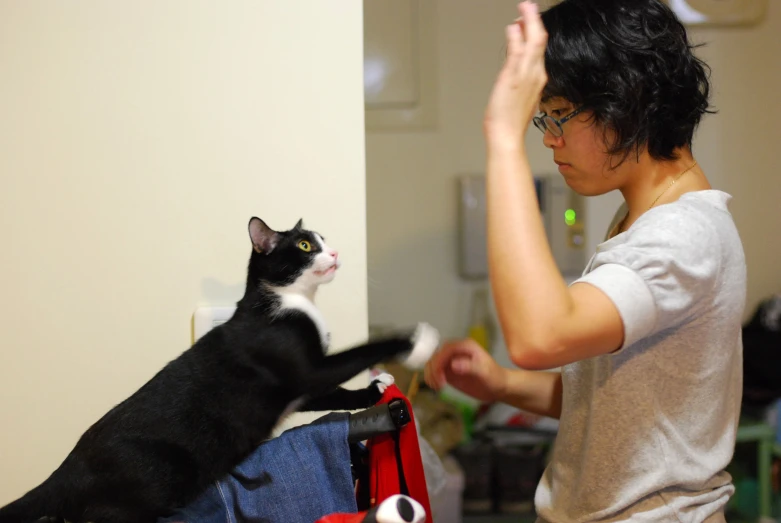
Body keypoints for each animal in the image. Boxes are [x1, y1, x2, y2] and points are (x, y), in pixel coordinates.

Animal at [0, 216, 438, 523]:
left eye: (323, 240)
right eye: (304, 244)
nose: (334, 254)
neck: (292, 300)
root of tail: (66, 470)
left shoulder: (302, 389)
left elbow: (333, 392)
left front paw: (376, 387)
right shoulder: (304, 366)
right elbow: (359, 353)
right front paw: (417, 343)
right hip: (161, 474)